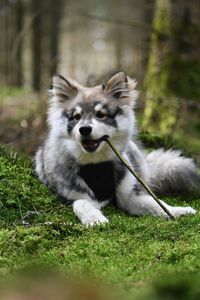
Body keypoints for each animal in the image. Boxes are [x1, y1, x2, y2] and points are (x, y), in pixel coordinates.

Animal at [34, 71, 198, 225]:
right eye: (76, 117)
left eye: (101, 114)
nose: (84, 129)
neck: (96, 164)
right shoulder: (75, 197)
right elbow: (82, 204)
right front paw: (94, 219)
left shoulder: (129, 197)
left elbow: (156, 204)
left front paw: (177, 210)